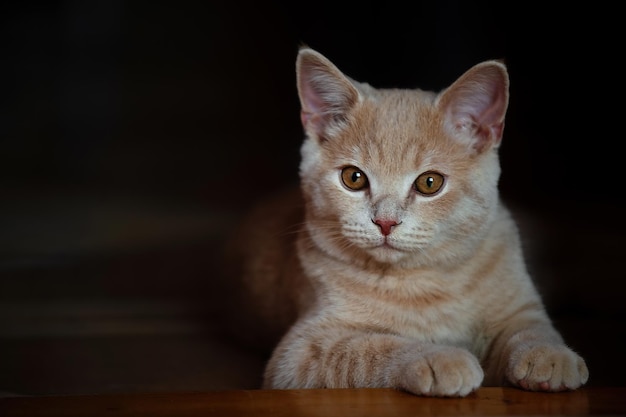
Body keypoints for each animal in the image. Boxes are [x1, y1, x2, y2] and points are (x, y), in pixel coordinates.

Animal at [218, 47, 584, 394]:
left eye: (430, 183)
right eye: (353, 178)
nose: (385, 222)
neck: (425, 282)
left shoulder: (518, 303)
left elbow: (530, 327)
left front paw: (550, 355)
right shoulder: (299, 353)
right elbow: (369, 348)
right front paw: (438, 357)